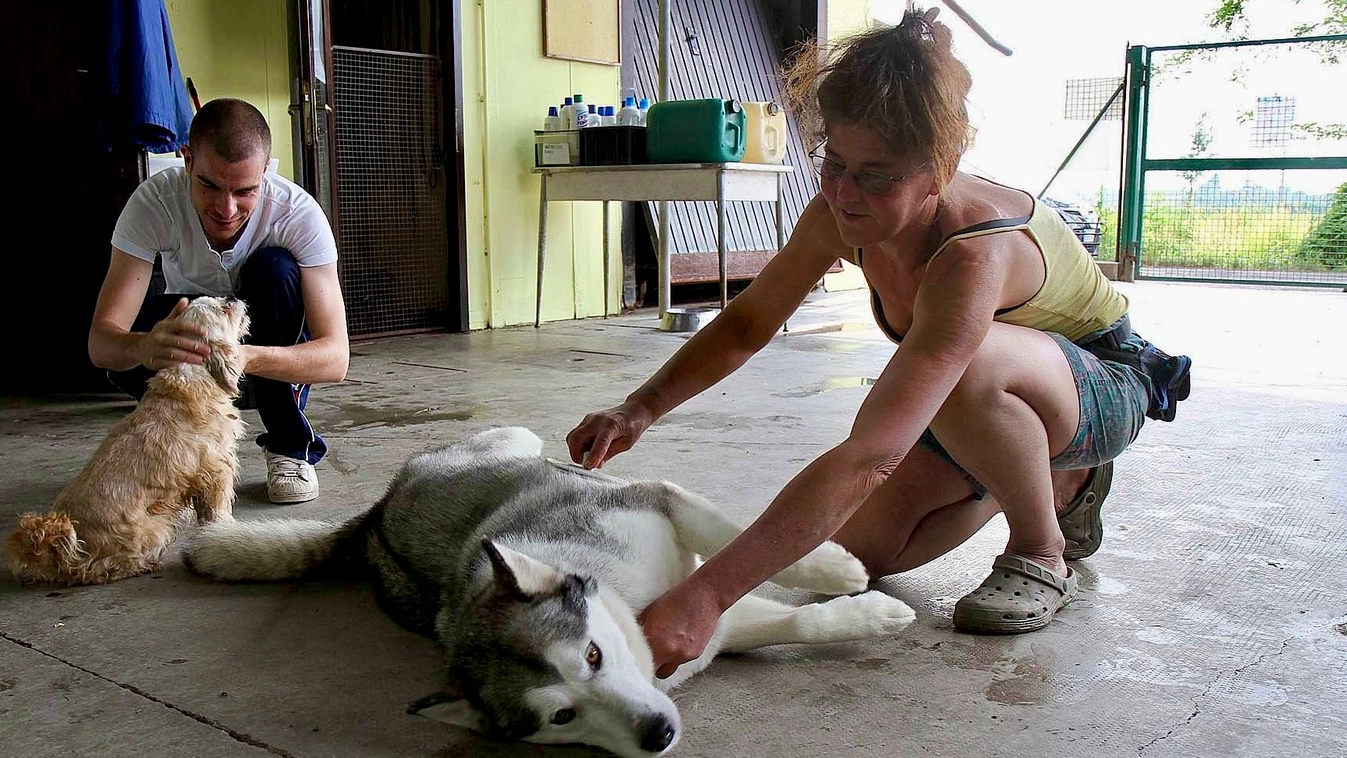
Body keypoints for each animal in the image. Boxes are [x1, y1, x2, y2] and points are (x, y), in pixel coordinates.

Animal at [187, 430, 915, 753]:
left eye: (592, 655)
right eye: (563, 717)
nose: (656, 734)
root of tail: (376, 511)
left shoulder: (656, 502)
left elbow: (738, 537)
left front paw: (839, 572)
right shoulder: (700, 622)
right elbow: (763, 614)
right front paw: (869, 610)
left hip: (517, 442)